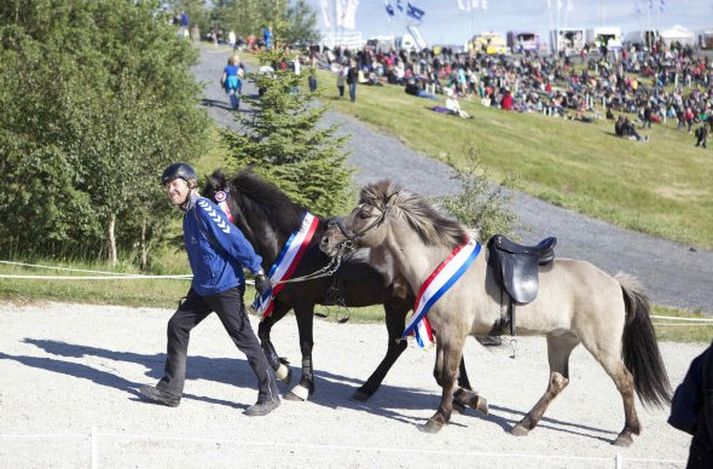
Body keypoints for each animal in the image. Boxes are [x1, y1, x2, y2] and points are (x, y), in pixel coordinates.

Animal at [320, 178, 672, 442]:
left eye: (363, 214)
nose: (326, 240)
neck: (438, 262)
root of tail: (614, 281)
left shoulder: (454, 332)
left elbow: (447, 375)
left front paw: (440, 418)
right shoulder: (446, 332)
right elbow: (442, 374)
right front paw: (470, 400)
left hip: (600, 345)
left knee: (624, 380)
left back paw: (627, 433)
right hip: (560, 340)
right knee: (558, 381)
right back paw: (524, 425)